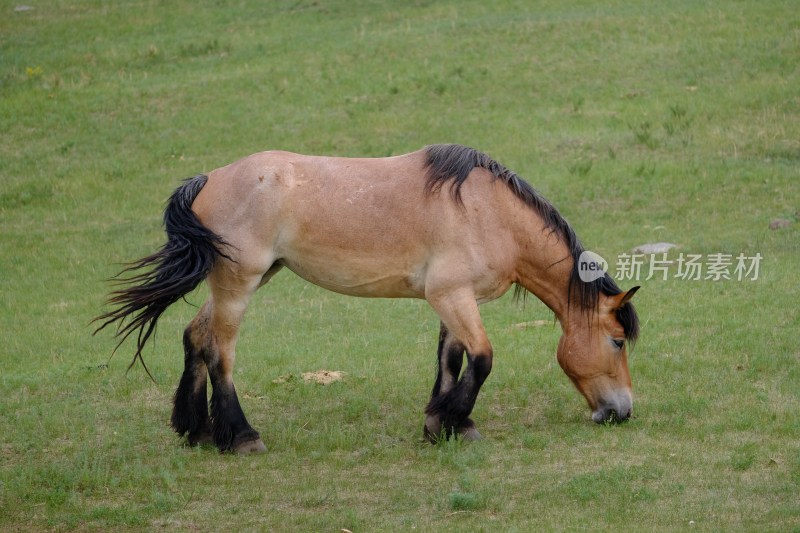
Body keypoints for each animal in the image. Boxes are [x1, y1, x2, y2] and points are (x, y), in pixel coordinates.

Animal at [95, 144, 644, 454]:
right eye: (617, 341)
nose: (622, 411)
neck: (488, 212)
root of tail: (208, 178)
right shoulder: (452, 295)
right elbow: (483, 358)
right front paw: (452, 420)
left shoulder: (452, 299)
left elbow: (451, 359)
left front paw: (444, 425)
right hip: (238, 284)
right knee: (219, 352)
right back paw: (242, 437)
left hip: (250, 278)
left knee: (195, 337)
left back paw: (198, 432)